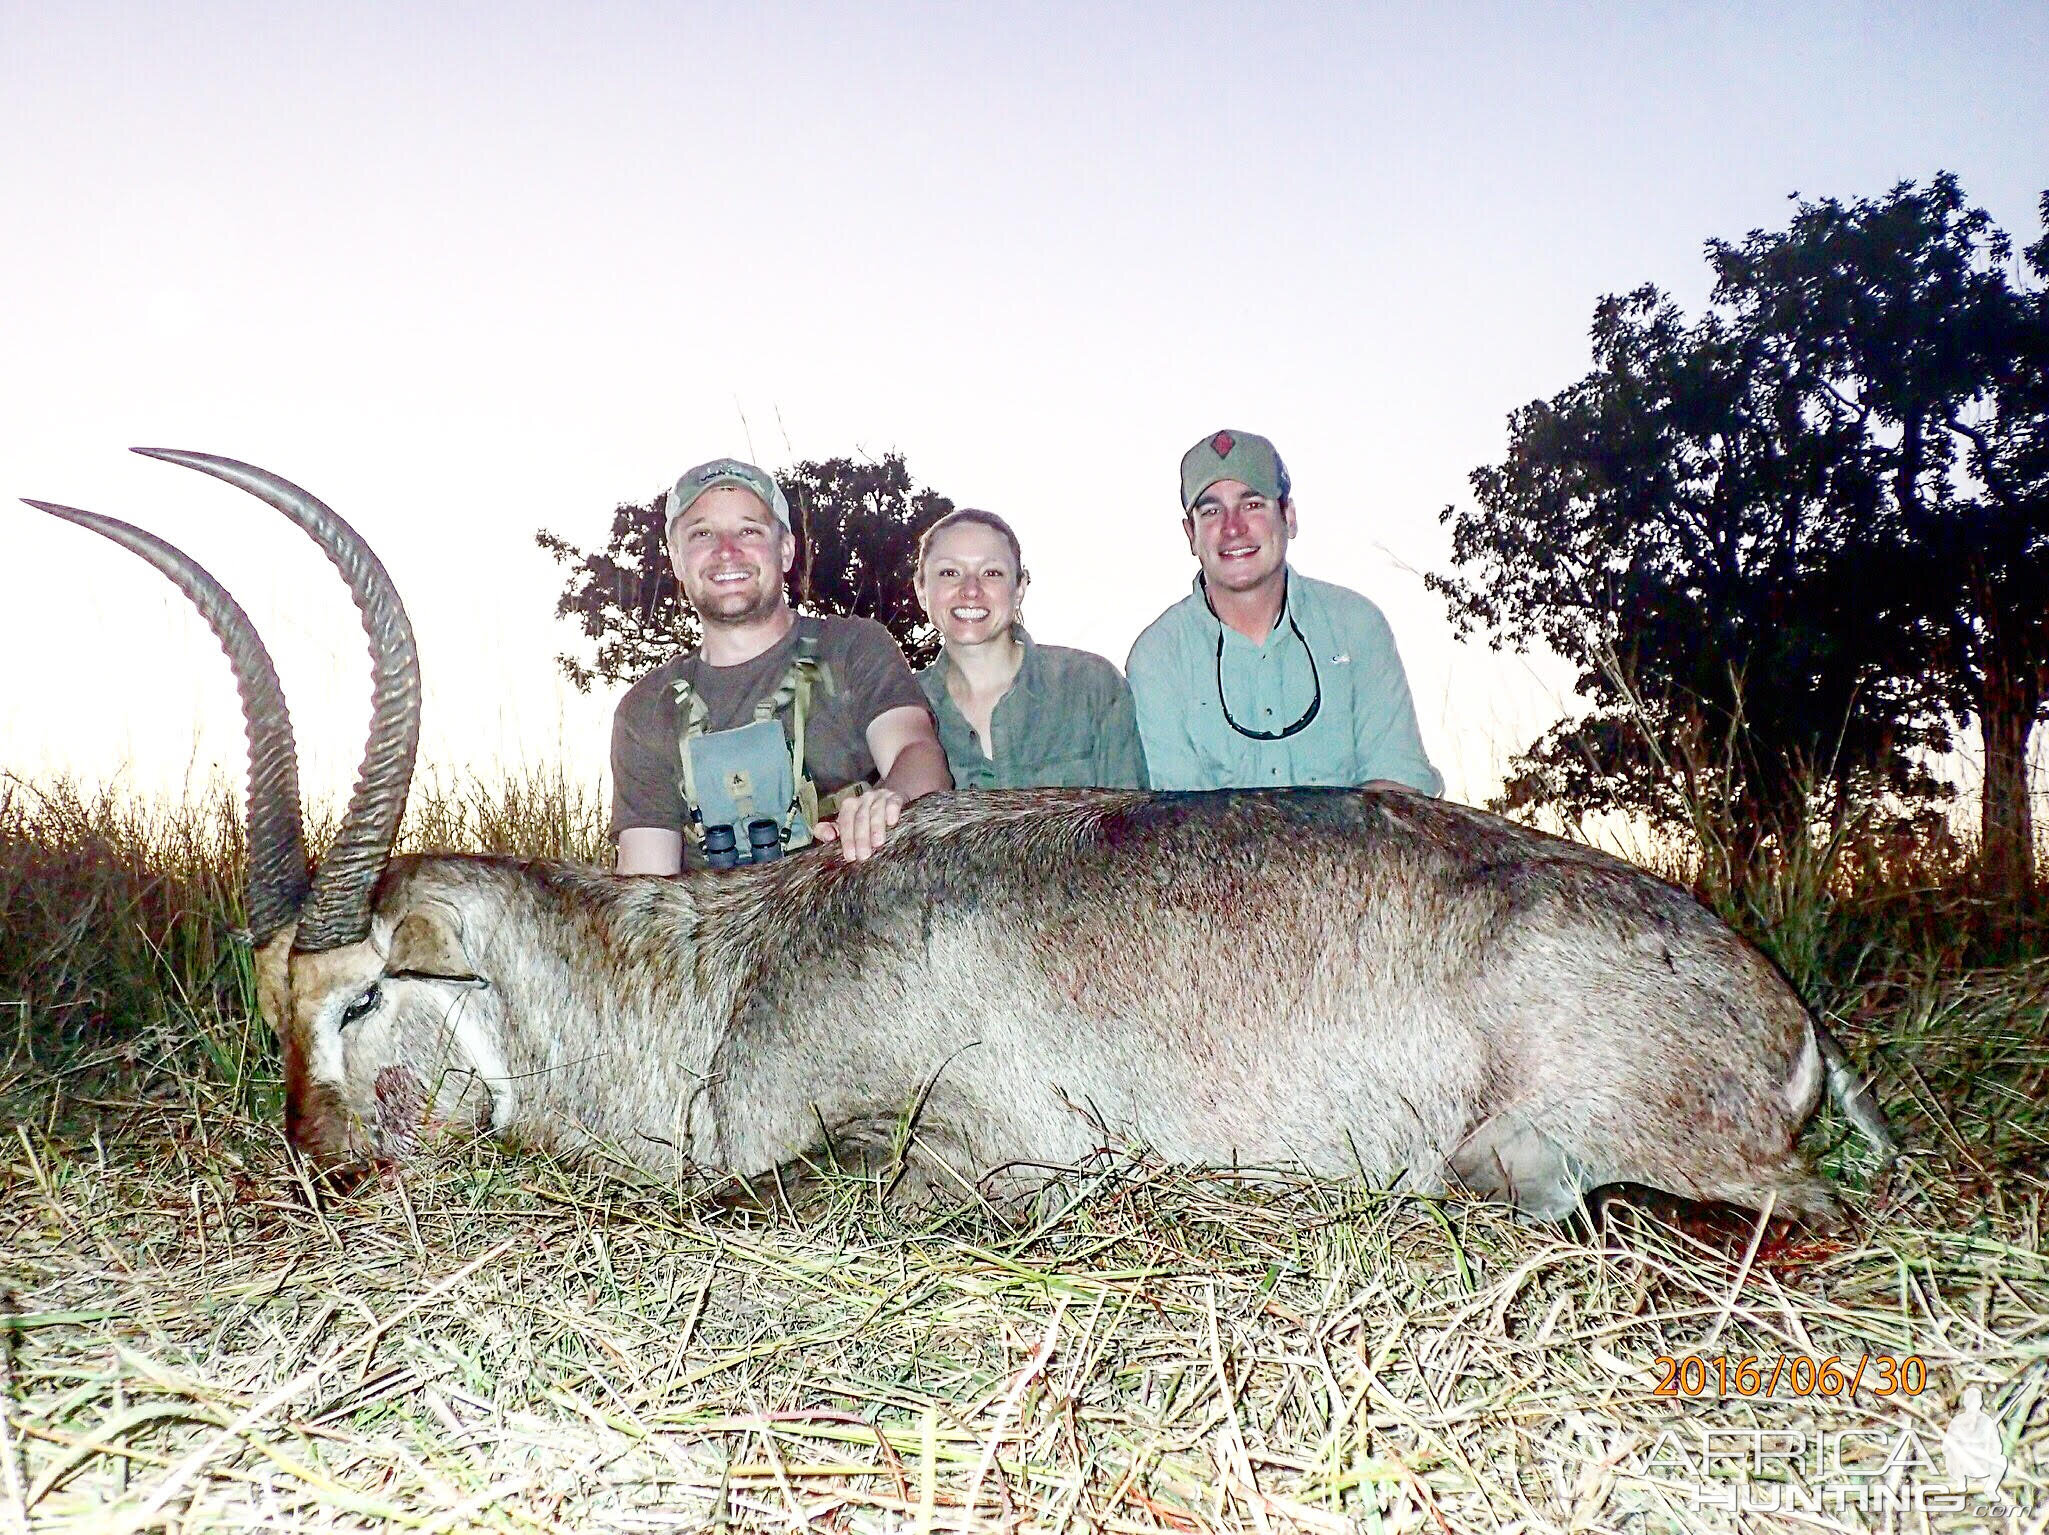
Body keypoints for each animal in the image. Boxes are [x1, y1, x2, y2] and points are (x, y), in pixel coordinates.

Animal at [28, 452, 1885, 1221]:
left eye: (360, 993)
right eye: (267, 1010)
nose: (319, 1172)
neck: (724, 974)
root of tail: (1778, 1013)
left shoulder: (980, 1145)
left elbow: (766, 1194)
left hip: (1591, 1149)